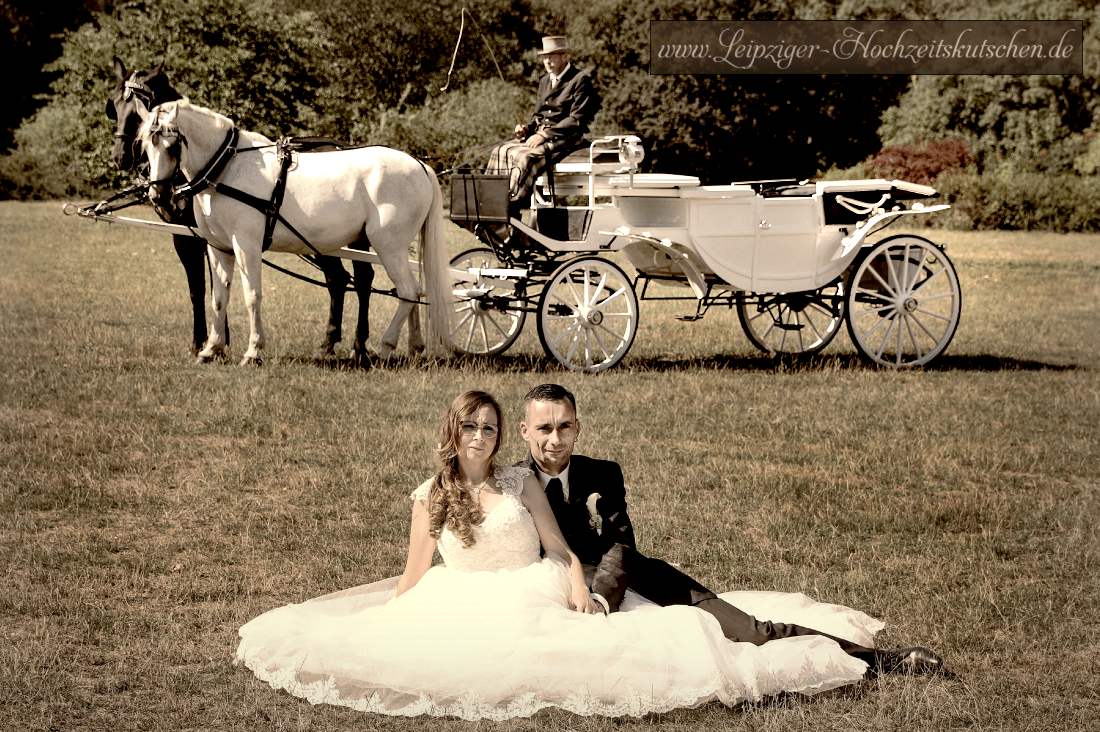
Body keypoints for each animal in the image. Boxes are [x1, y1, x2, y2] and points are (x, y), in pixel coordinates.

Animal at [107, 57, 374, 358]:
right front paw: (214, 342)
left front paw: (208, 342)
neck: (215, 165)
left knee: (363, 279)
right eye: (114, 105)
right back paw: (329, 341)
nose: (119, 157)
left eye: (139, 108)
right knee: (337, 279)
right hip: (321, 241)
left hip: (355, 238)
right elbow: (207, 289)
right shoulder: (191, 235)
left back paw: (359, 346)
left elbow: (203, 288)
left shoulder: (195, 237)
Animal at [136, 101, 451, 363]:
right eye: (146, 147)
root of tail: (420, 165)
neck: (227, 169)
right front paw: (211, 349)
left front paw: (253, 351)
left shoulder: (246, 246)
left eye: (173, 147)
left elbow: (252, 295)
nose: (159, 197)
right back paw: (413, 345)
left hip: (388, 246)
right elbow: (218, 297)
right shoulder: (218, 248)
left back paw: (385, 346)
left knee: (406, 290)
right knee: (410, 289)